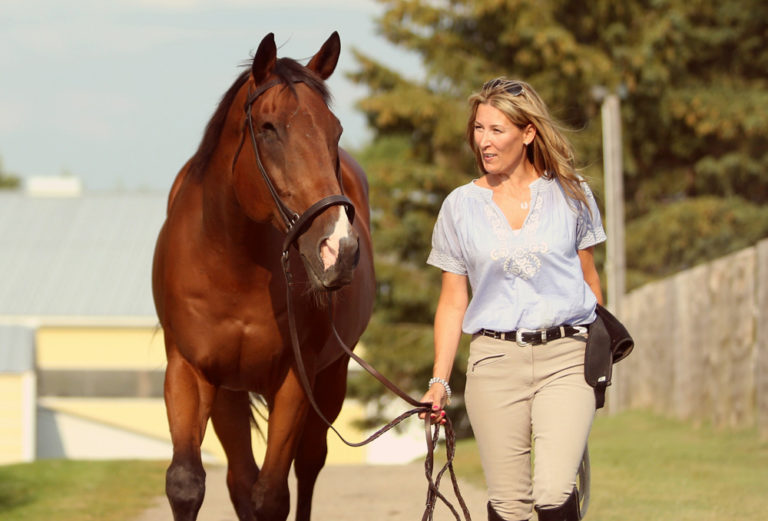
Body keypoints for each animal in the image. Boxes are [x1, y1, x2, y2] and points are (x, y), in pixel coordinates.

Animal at [152, 32, 375, 521]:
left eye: (335, 131)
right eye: (269, 128)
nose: (339, 250)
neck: (233, 264)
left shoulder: (295, 379)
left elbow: (272, 494)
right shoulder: (188, 370)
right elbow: (186, 484)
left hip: (330, 379)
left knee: (307, 467)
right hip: (228, 395)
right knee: (239, 479)